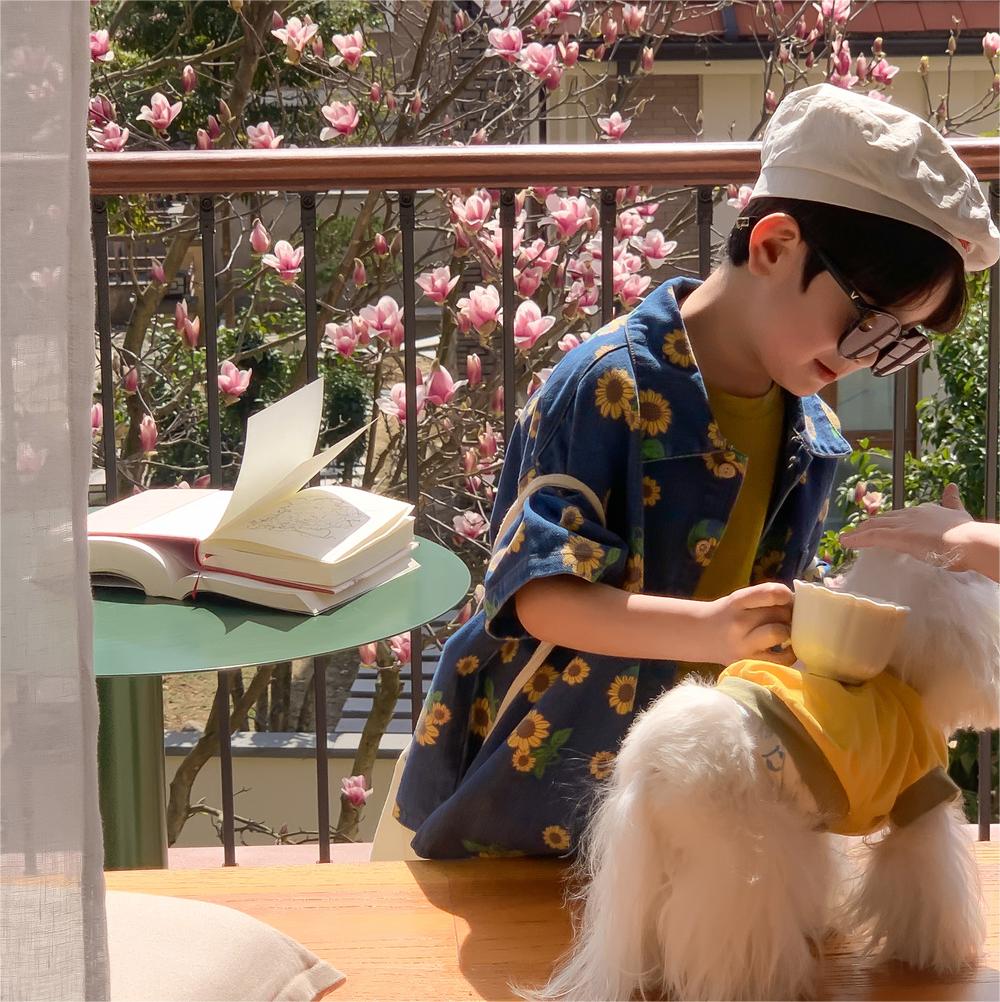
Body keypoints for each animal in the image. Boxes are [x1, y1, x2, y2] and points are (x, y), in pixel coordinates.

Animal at [532, 549, 999, 1001]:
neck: (902, 674)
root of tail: (652, 760)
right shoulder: (920, 799)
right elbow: (932, 876)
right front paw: (938, 952)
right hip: (736, 855)